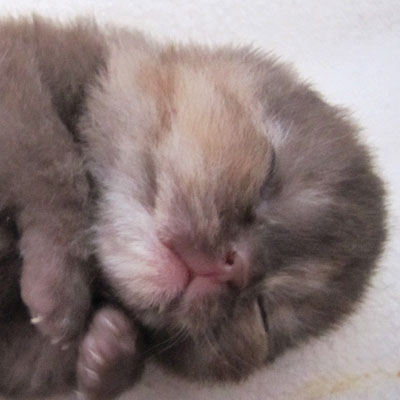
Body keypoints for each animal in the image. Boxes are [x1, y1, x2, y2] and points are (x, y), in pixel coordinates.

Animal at [0, 15, 386, 399]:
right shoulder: (18, 69)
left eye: (263, 314)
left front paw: (113, 352)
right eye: (269, 172)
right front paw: (59, 288)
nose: (235, 266)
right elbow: (54, 162)